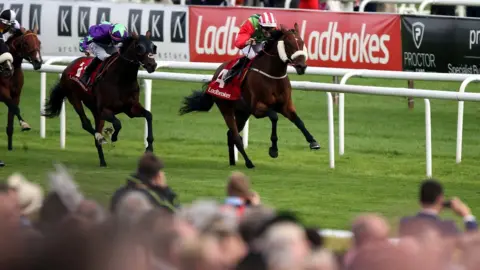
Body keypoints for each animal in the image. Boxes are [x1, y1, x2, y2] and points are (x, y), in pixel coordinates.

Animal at [42, 31, 157, 167]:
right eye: (139, 47)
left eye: (153, 46)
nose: (152, 65)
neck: (122, 79)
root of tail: (67, 68)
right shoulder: (104, 110)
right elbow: (118, 123)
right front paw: (113, 136)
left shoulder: (131, 108)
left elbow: (149, 115)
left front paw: (149, 147)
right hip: (74, 98)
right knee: (86, 123)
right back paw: (100, 138)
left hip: (94, 109)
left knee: (96, 127)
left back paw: (102, 160)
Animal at [178, 23, 320, 168]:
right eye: (288, 43)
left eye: (302, 42)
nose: (302, 66)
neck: (273, 75)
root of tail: (215, 75)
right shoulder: (257, 109)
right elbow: (274, 117)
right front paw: (273, 150)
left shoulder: (285, 105)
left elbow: (298, 121)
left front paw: (313, 142)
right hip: (226, 109)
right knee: (235, 136)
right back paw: (249, 162)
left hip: (242, 113)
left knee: (230, 134)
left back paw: (233, 162)